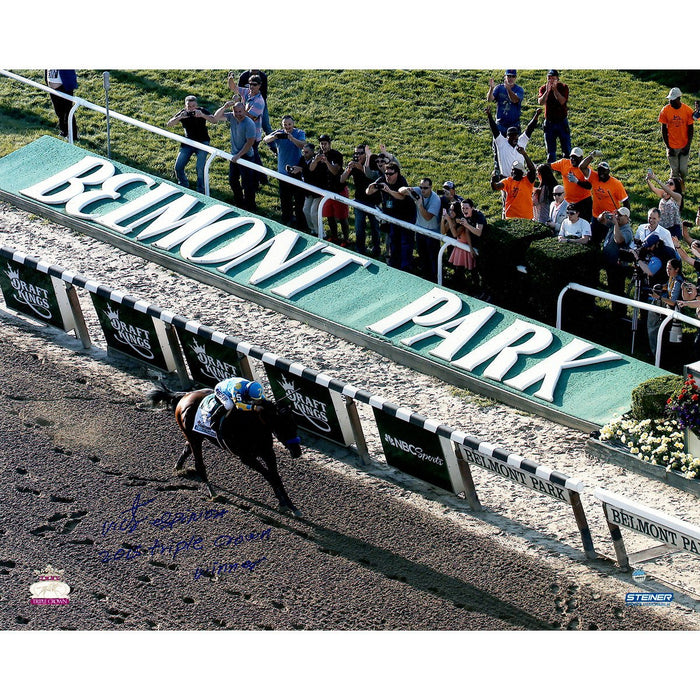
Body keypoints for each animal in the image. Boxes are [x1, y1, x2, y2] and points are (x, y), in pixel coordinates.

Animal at [146, 386, 302, 516]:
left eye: (295, 424)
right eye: (285, 426)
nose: (297, 452)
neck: (252, 424)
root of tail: (185, 395)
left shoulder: (268, 452)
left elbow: (275, 477)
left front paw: (290, 506)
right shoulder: (247, 457)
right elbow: (270, 476)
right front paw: (286, 505)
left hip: (195, 436)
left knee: (186, 449)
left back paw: (178, 468)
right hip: (194, 437)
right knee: (199, 465)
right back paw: (213, 493)